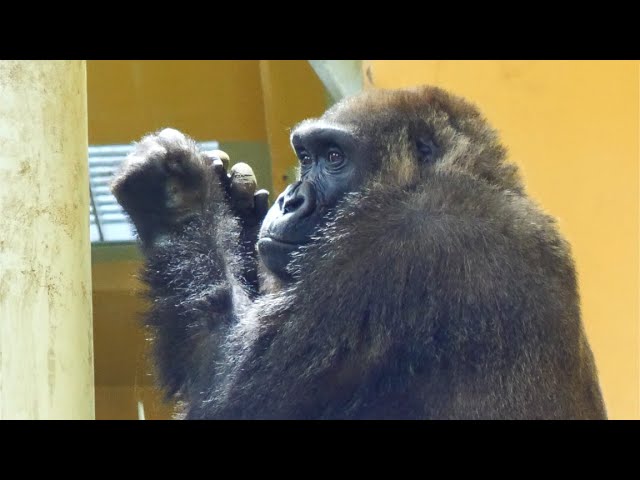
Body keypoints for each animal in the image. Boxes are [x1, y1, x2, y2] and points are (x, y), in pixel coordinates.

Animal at [111, 85, 607, 419]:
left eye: (335, 158)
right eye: (306, 156)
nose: (290, 201)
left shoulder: (394, 245)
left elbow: (226, 397)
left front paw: (172, 196)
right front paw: (238, 206)